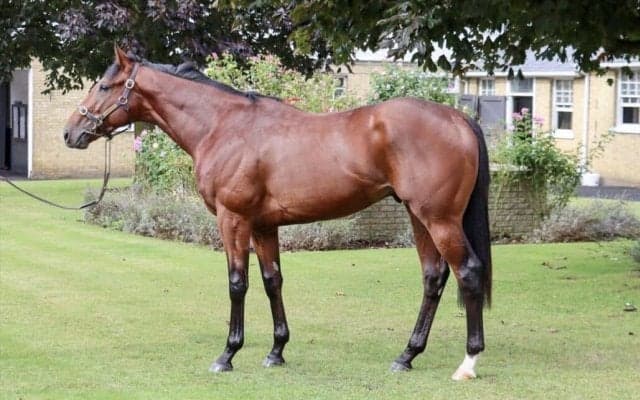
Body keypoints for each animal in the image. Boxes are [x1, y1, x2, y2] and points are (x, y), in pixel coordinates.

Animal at [64, 46, 492, 380]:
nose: (70, 133)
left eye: (104, 86)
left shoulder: (232, 219)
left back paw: (468, 362)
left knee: (468, 272)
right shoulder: (264, 226)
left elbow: (238, 283)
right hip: (419, 218)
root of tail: (458, 118)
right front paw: (276, 352)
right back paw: (406, 355)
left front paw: (228, 354)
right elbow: (273, 282)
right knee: (433, 277)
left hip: (439, 219)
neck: (223, 127)